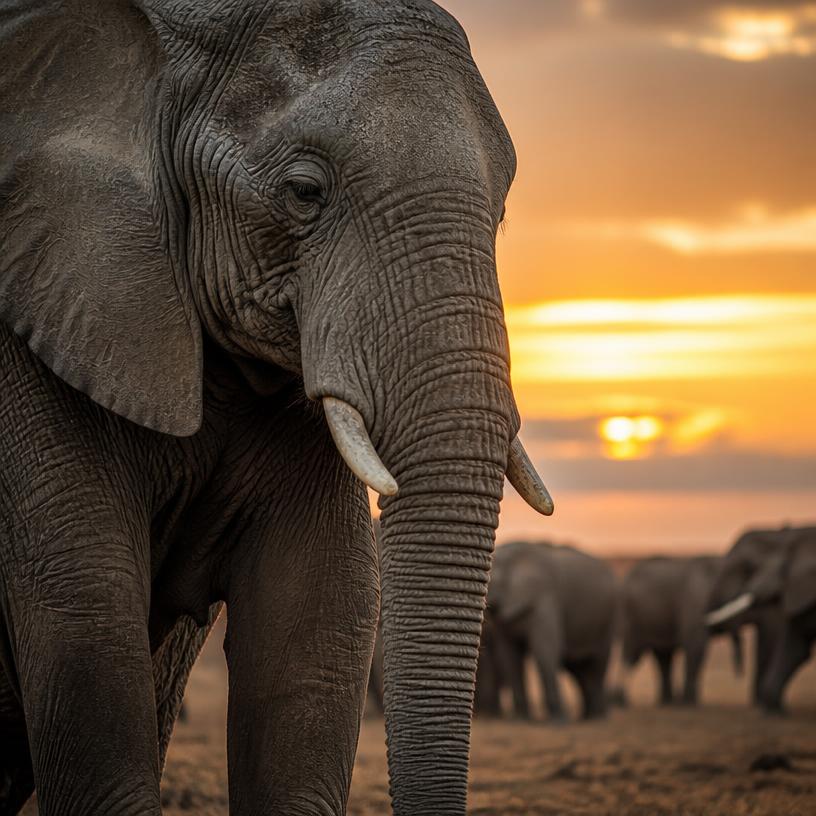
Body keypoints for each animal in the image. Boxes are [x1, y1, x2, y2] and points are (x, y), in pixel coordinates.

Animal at [484, 541, 617, 722]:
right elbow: (510, 655)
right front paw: (521, 719)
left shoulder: (545, 596)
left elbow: (545, 648)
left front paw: (559, 721)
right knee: (577, 668)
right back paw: (586, 716)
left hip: (609, 618)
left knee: (598, 664)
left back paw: (597, 718)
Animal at [621, 556, 743, 706]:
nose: (738, 677)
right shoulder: (695, 600)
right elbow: (696, 646)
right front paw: (688, 703)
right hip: (632, 619)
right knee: (632, 656)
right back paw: (619, 699)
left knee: (661, 656)